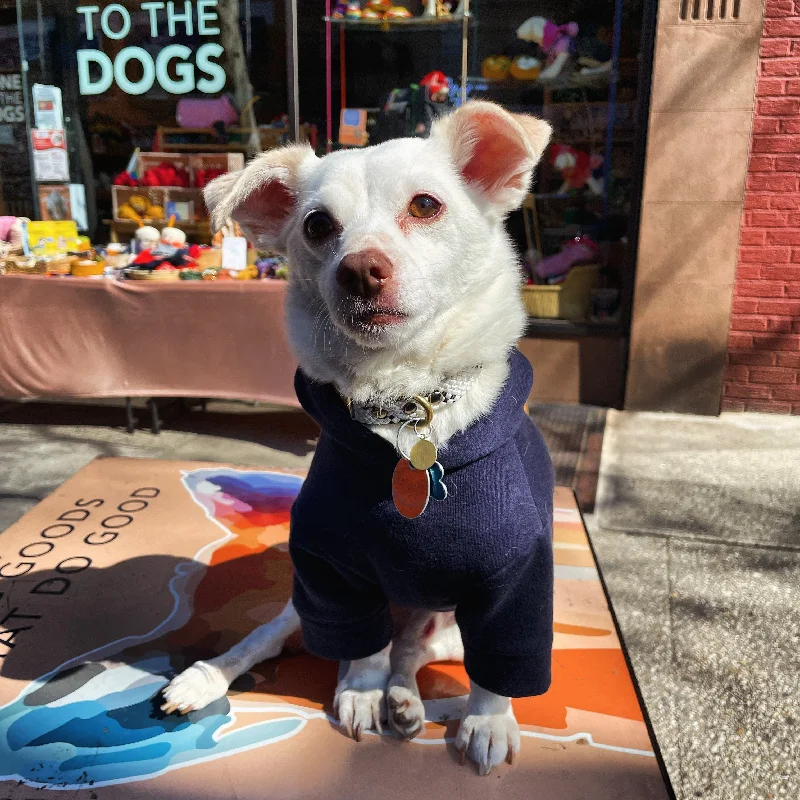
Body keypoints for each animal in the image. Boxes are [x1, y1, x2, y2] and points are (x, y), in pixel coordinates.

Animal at [159, 98, 552, 776]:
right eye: (317, 226)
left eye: (425, 205)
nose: (360, 270)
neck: (406, 403)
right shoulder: (333, 571)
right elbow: (359, 646)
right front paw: (361, 692)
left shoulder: (516, 584)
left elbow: (500, 662)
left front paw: (487, 718)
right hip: (302, 602)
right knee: (278, 640)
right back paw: (207, 678)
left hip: (446, 627)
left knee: (411, 652)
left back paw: (409, 701)